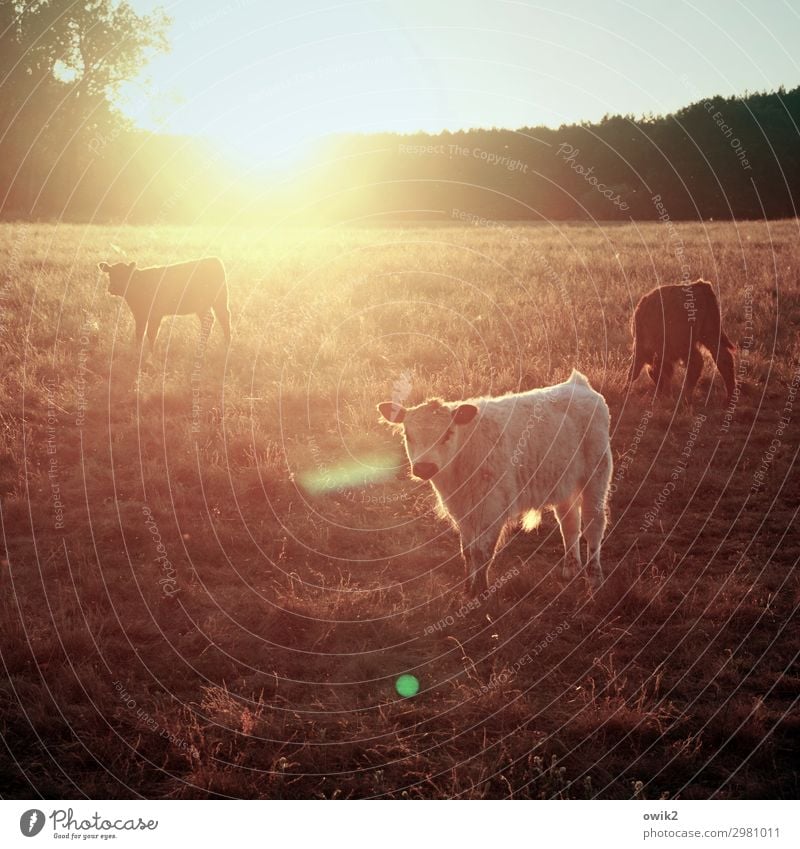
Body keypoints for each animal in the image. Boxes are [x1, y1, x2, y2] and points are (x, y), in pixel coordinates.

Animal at [99, 255, 231, 354]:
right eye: (110, 274)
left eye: (125, 275)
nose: (112, 288)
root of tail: (214, 259)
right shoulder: (140, 314)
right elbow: (139, 332)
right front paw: (137, 351)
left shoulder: (155, 314)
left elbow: (151, 333)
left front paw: (151, 353)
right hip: (203, 306)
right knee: (208, 322)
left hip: (220, 301)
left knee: (224, 319)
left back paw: (226, 345)